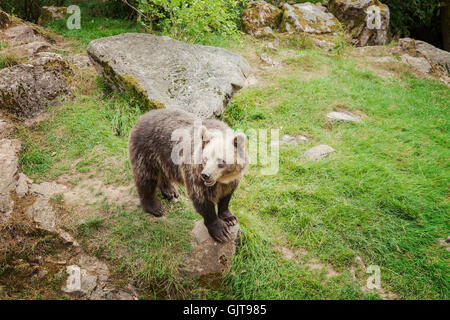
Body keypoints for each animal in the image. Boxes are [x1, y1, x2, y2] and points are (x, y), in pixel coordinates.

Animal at [128, 108, 250, 242]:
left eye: (221, 161)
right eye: (205, 158)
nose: (205, 175)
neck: (222, 178)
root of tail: (143, 116)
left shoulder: (232, 179)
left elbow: (226, 196)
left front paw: (230, 218)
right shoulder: (194, 172)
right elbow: (201, 198)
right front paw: (221, 230)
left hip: (165, 157)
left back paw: (170, 191)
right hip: (147, 150)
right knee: (146, 177)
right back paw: (154, 206)